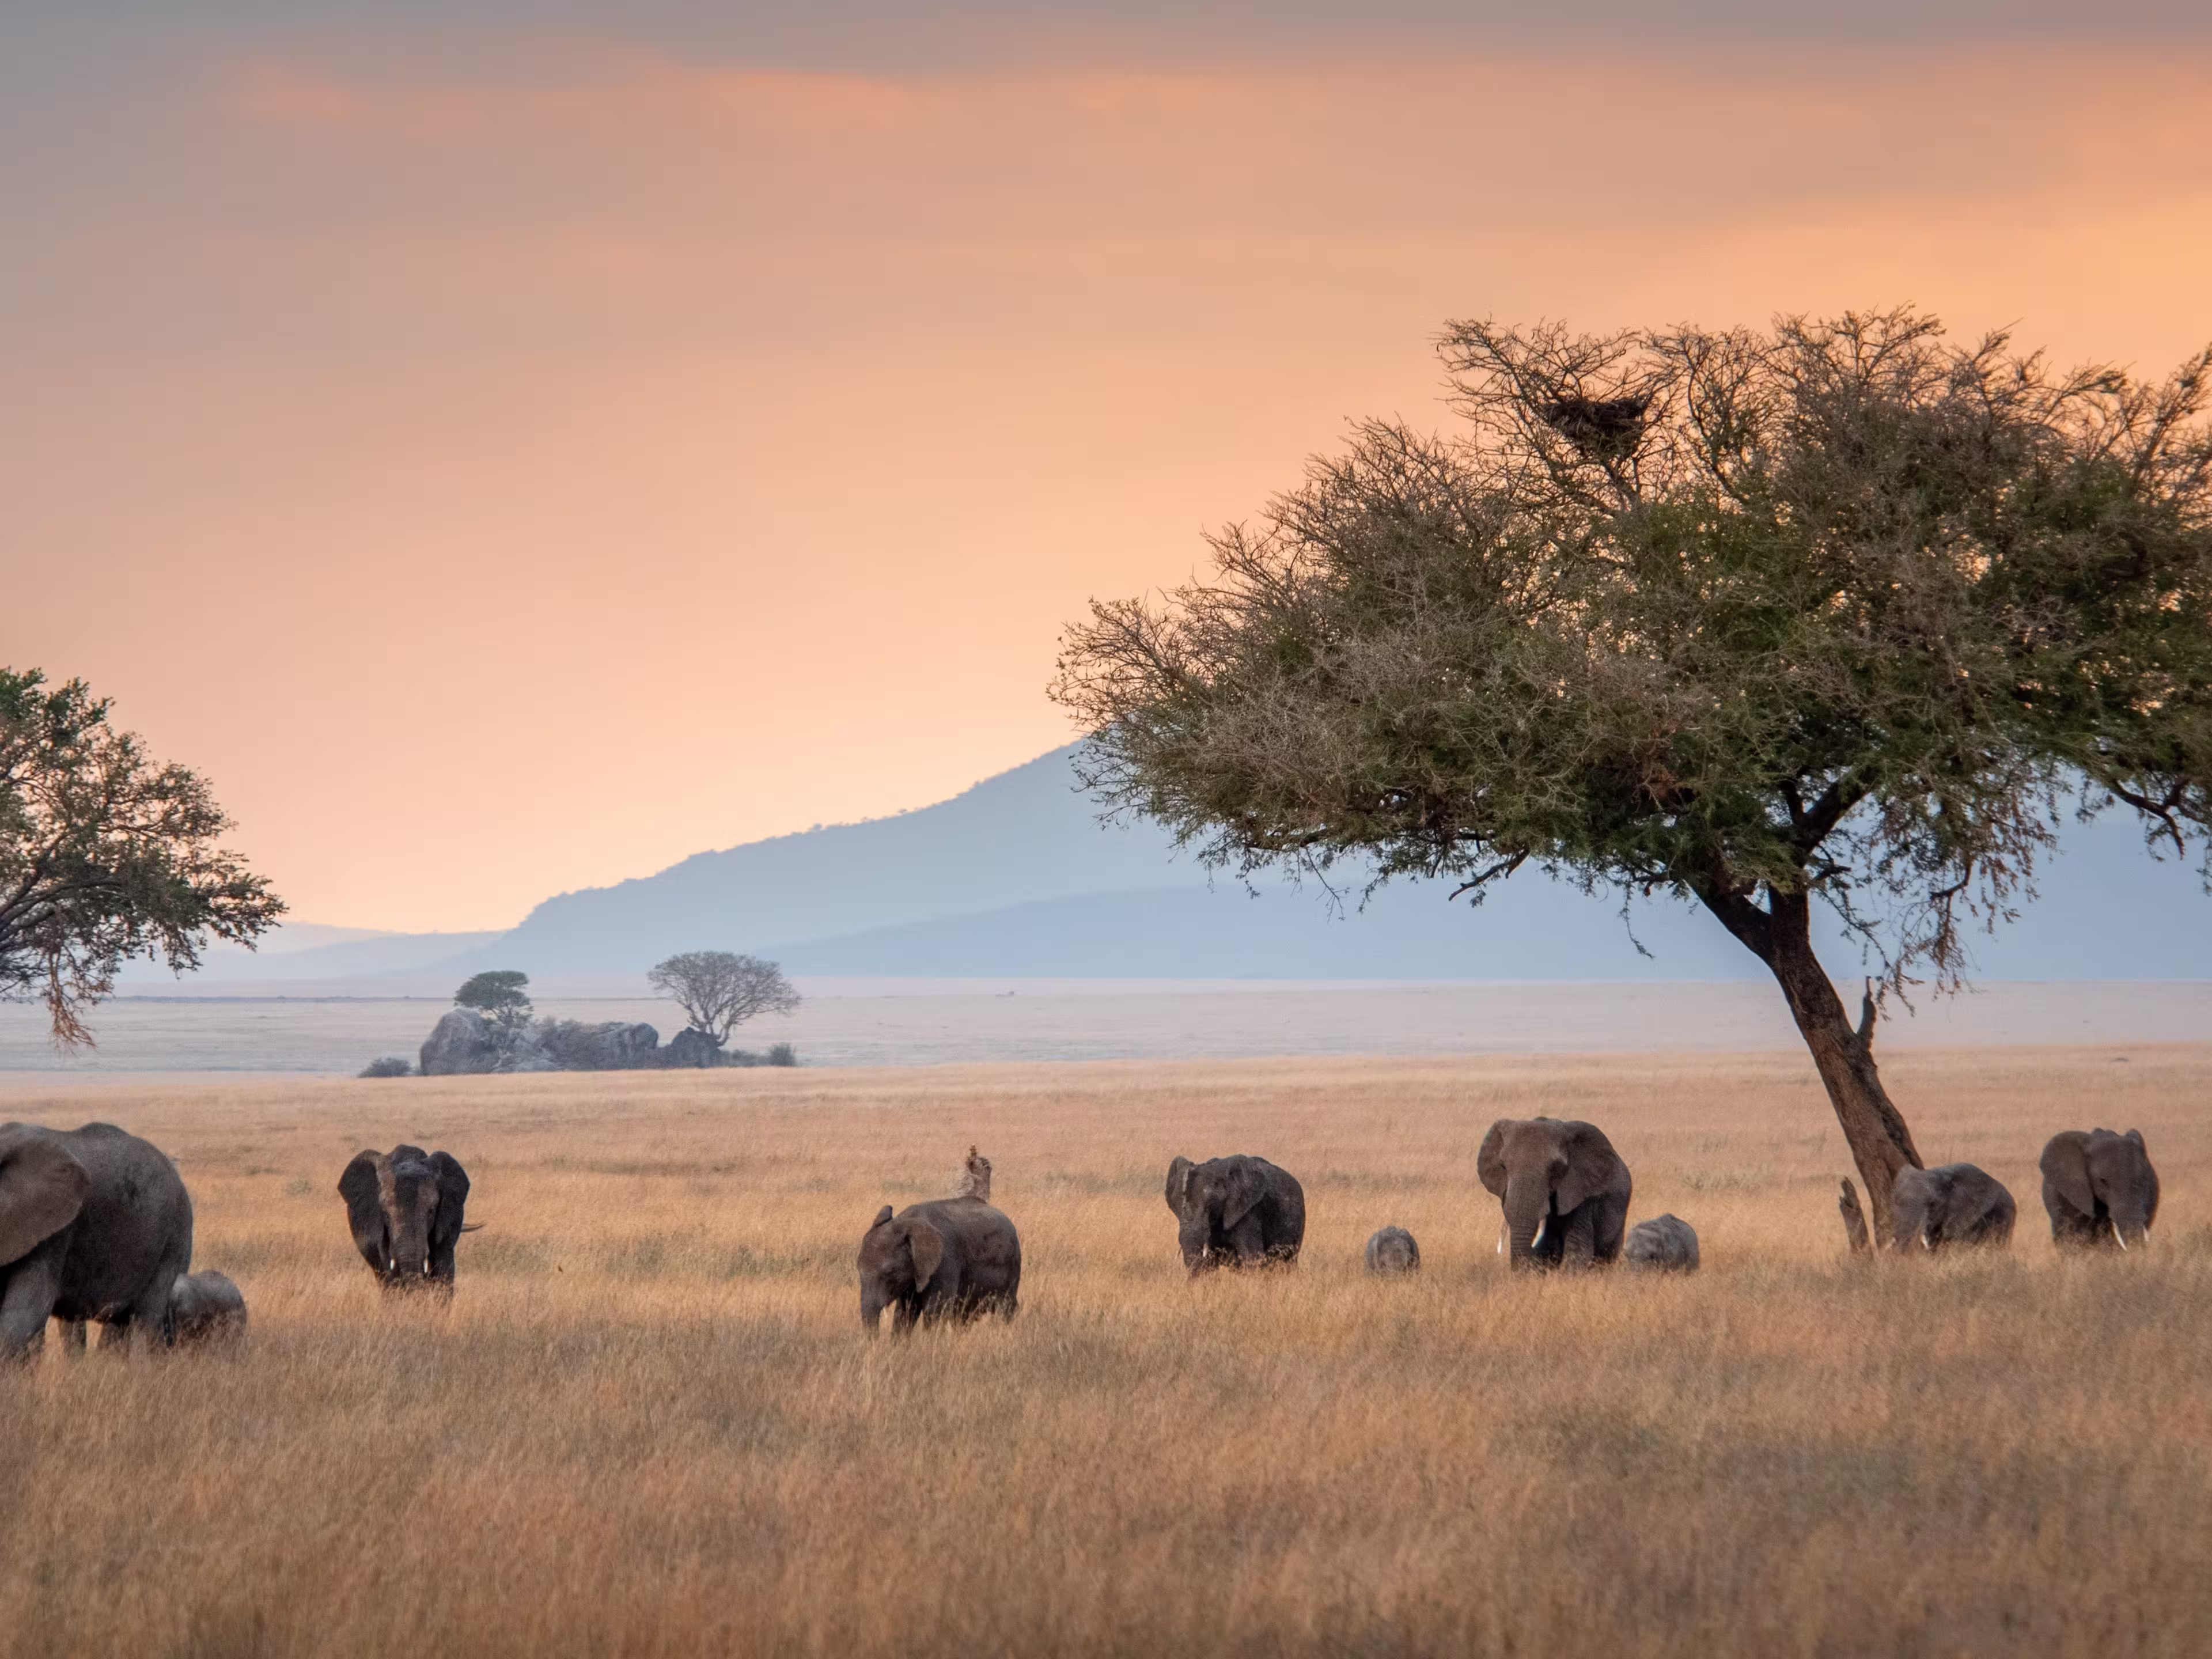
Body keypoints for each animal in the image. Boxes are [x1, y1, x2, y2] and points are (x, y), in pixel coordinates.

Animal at [857, 1194, 1021, 1332]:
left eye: (889, 1272)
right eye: (858, 1270)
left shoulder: (945, 1262)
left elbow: (936, 1310)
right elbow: (906, 1310)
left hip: (1013, 1266)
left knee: (1005, 1307)